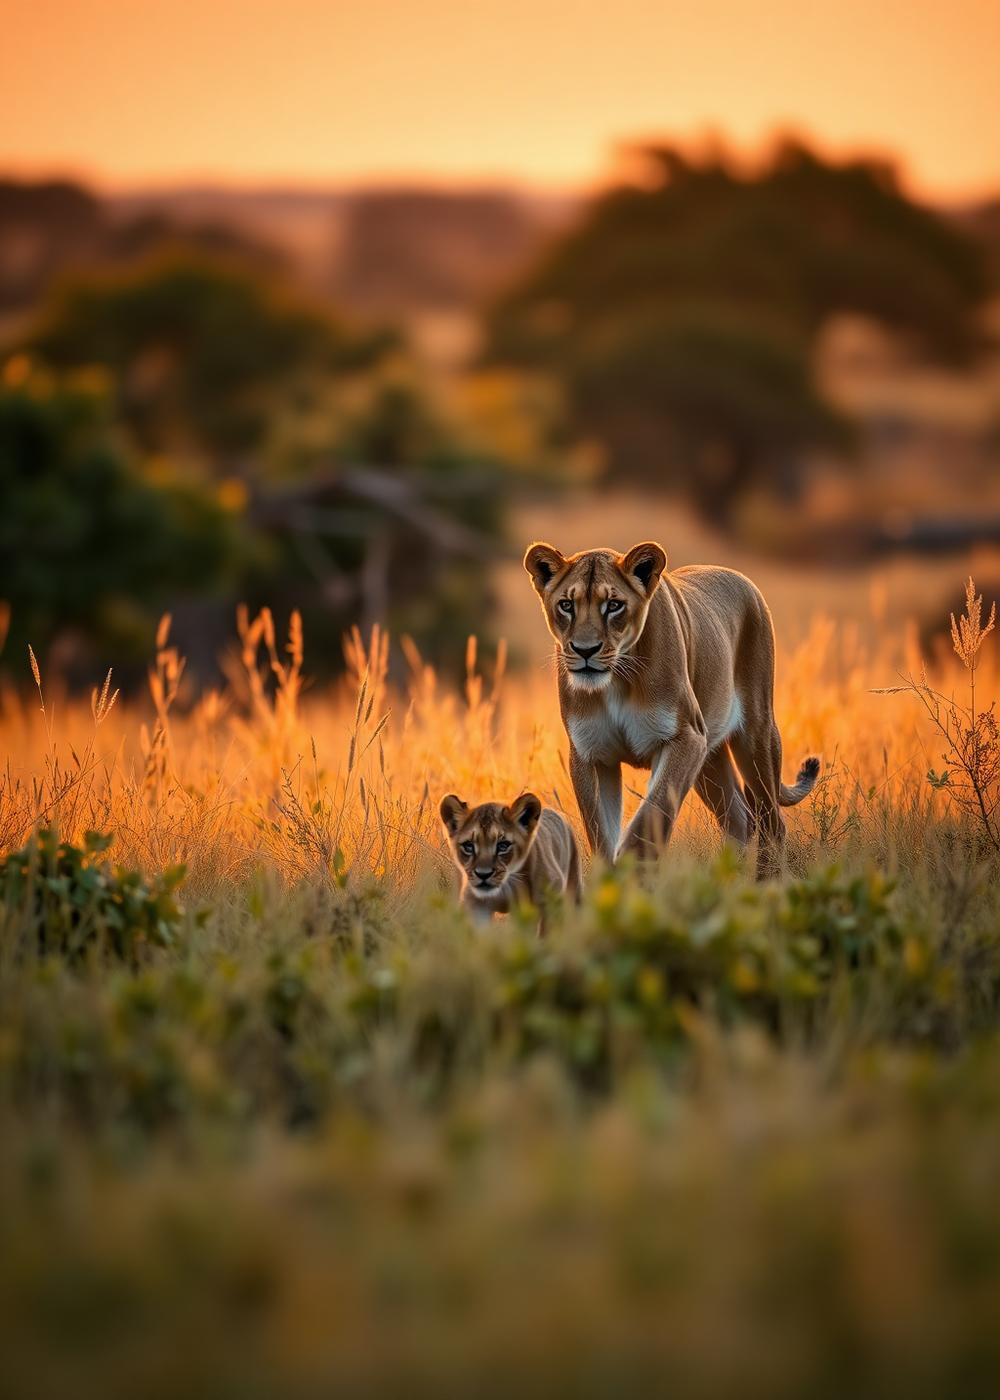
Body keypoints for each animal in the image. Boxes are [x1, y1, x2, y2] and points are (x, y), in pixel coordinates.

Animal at [440, 792, 582, 931]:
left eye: (503, 845)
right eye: (468, 846)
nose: (483, 874)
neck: (506, 884)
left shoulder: (550, 899)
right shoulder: (476, 904)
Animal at [524, 540, 819, 876]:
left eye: (613, 605)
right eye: (566, 605)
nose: (585, 650)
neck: (618, 679)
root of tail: (743, 579)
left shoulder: (684, 737)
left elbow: (651, 814)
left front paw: (633, 870)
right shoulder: (591, 754)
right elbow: (599, 834)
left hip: (756, 734)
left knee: (772, 821)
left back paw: (764, 883)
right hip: (710, 758)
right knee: (739, 818)